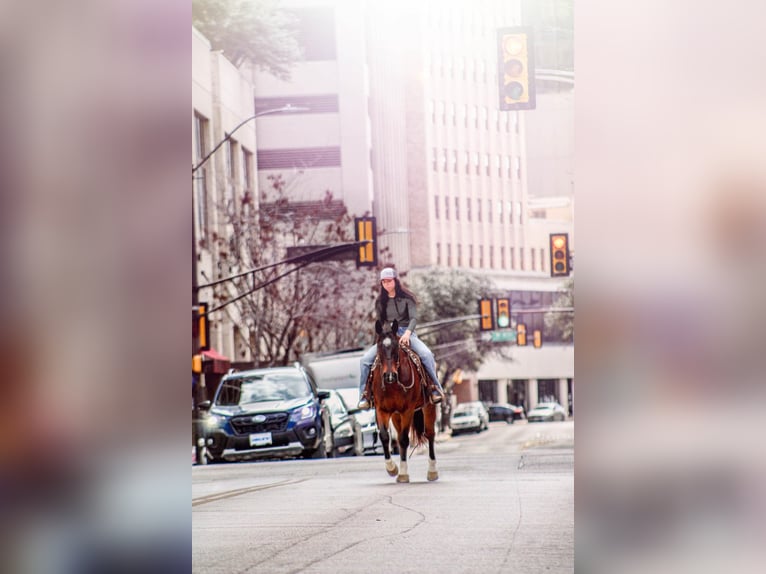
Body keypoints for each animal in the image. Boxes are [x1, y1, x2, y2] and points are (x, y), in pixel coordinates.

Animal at [370, 322, 438, 484]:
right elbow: (385, 437)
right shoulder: (381, 410)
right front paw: (392, 469)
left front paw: (402, 474)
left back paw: (432, 471)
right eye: (379, 348)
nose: (389, 376)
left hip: (428, 407)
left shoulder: (407, 410)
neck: (393, 385)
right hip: (396, 416)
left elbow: (403, 439)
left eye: (396, 349)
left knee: (430, 434)